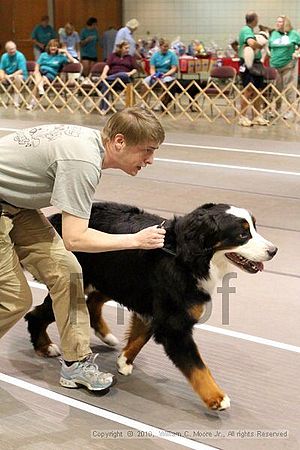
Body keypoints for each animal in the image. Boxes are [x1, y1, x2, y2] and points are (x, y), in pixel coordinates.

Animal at [24, 201, 278, 412]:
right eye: (243, 234)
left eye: (254, 227)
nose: (273, 251)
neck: (185, 256)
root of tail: (58, 218)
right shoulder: (174, 325)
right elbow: (197, 366)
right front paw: (217, 397)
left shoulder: (152, 308)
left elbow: (141, 335)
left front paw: (124, 360)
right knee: (36, 314)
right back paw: (45, 347)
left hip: (115, 278)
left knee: (93, 301)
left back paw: (106, 336)